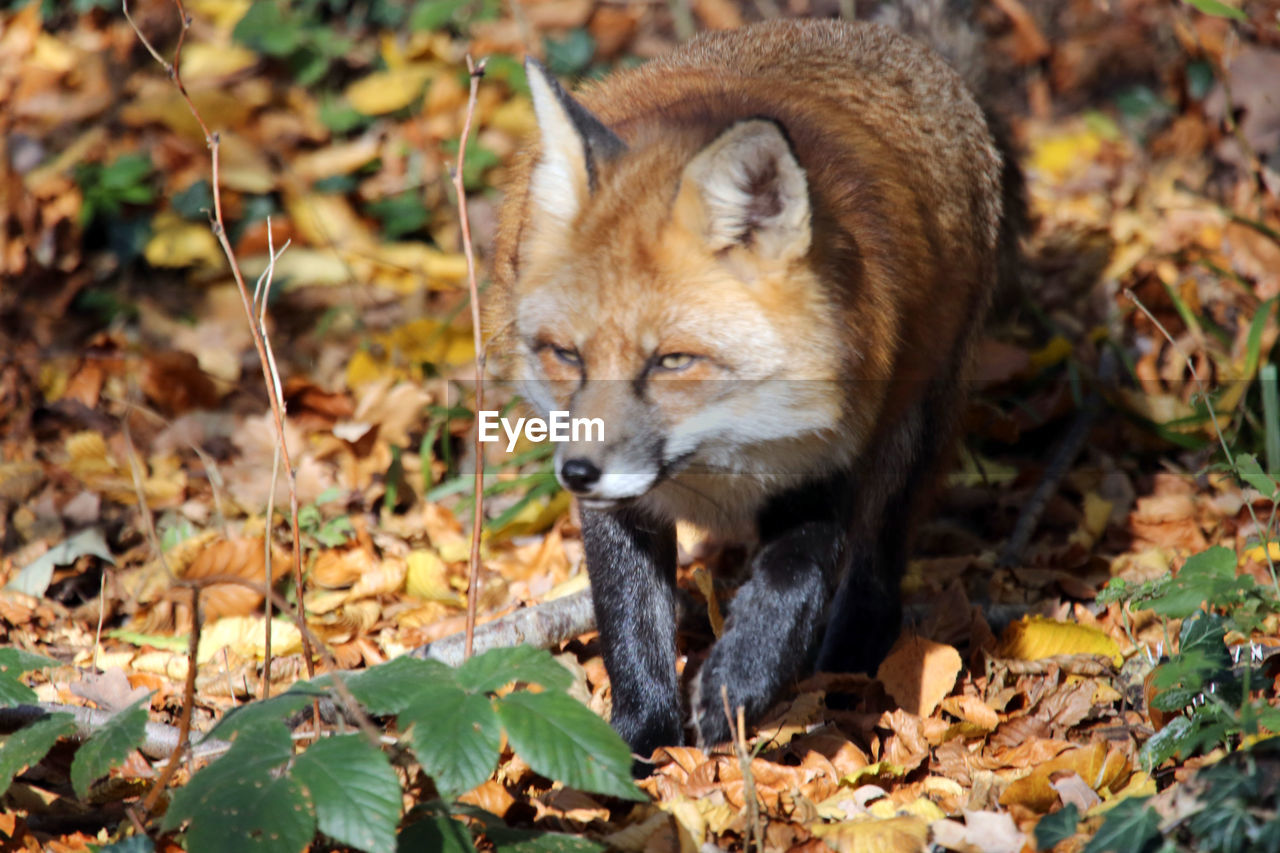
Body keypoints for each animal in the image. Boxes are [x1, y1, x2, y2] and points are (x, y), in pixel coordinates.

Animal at [481, 14, 1018, 758]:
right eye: (566, 353)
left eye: (672, 361)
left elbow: (795, 585)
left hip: (914, 432)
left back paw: (850, 670)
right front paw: (636, 747)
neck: (723, 459)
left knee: (876, 573)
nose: (578, 472)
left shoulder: (829, 453)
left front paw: (737, 687)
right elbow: (628, 623)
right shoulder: (618, 501)